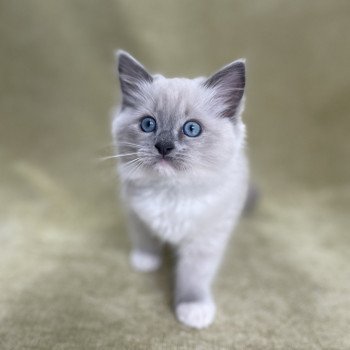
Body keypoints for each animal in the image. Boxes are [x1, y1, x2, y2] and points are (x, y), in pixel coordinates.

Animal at [112, 50, 249, 330]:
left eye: (192, 129)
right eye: (148, 124)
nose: (164, 146)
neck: (171, 191)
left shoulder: (206, 238)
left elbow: (194, 275)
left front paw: (193, 308)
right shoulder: (133, 209)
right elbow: (143, 235)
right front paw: (145, 259)